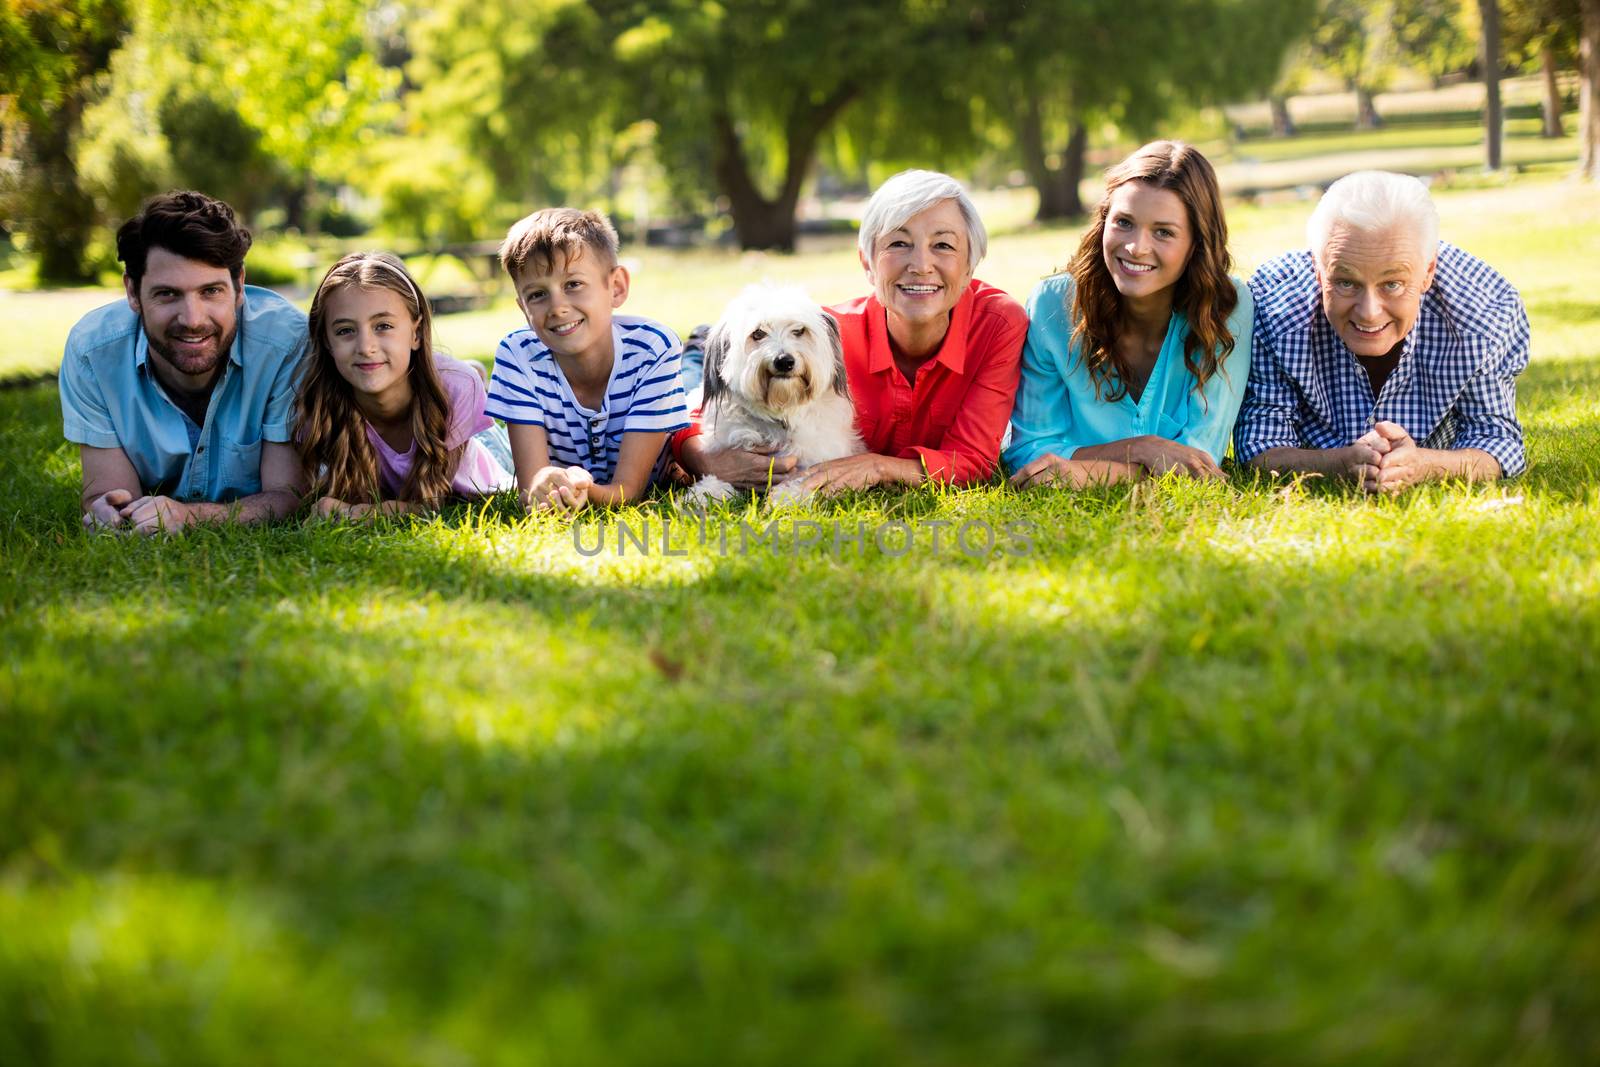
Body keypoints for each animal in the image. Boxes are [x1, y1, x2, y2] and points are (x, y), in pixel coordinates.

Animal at [688, 281, 864, 502]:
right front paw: (702, 496)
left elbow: (799, 481)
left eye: (799, 330)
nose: (784, 361)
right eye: (758, 333)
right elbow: (718, 477)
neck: (782, 411)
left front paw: (784, 498)